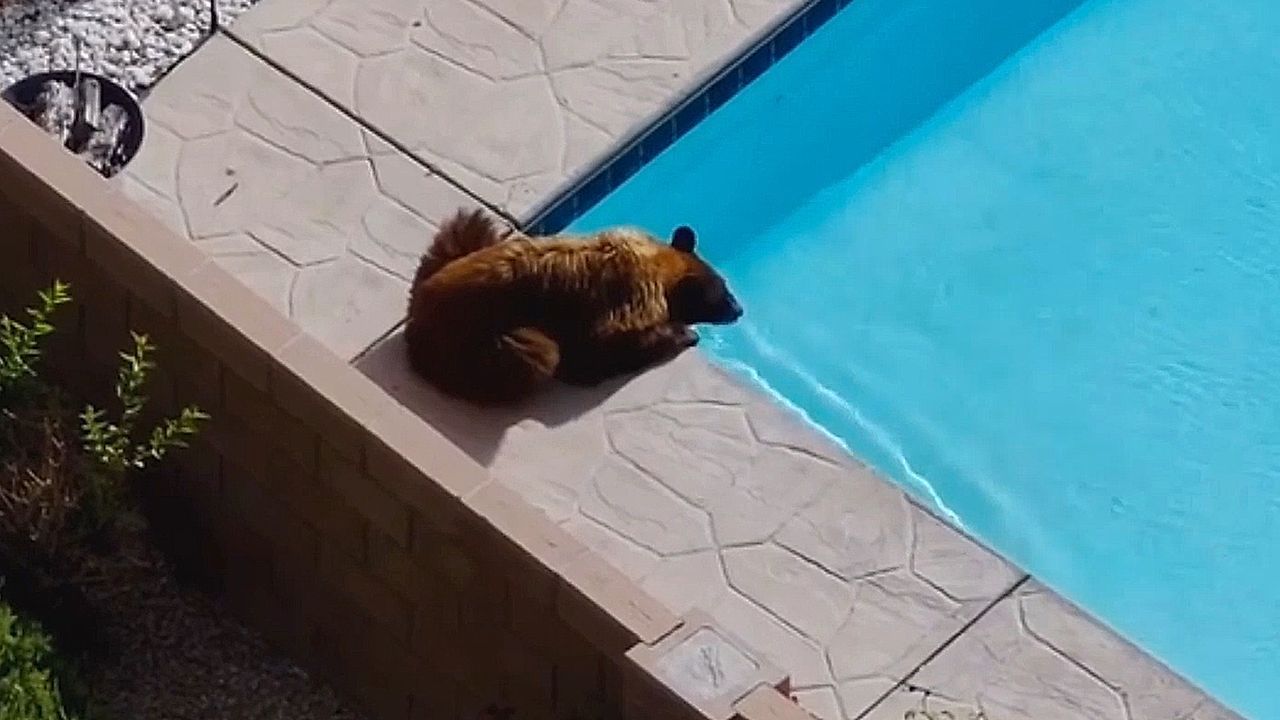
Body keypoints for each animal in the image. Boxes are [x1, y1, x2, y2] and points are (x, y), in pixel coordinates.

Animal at [404, 208, 743, 405]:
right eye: (722, 296)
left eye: (726, 287)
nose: (739, 310)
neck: (659, 266)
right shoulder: (625, 302)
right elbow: (599, 351)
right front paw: (682, 334)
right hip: (473, 342)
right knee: (538, 352)